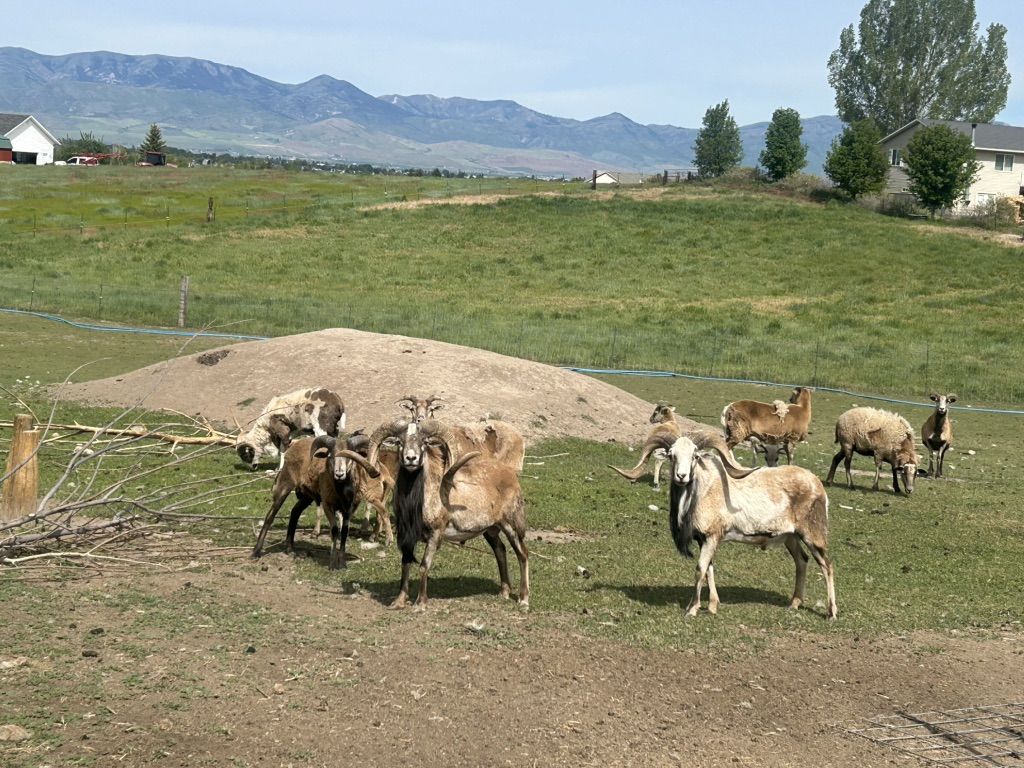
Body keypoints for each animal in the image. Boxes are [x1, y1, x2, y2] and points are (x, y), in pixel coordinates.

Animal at [251, 433, 386, 568]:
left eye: (350, 457)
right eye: (330, 456)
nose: (339, 474)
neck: (341, 491)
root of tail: (294, 445)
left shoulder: (350, 509)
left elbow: (344, 532)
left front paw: (342, 564)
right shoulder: (327, 505)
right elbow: (334, 530)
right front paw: (332, 564)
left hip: (306, 496)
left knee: (295, 512)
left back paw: (290, 548)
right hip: (285, 485)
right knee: (270, 515)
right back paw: (256, 552)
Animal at [367, 418, 529, 611]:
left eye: (424, 442)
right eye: (399, 442)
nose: (411, 459)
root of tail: (511, 476)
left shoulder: (435, 534)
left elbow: (424, 566)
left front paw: (420, 604)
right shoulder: (406, 536)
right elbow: (405, 564)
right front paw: (398, 602)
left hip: (510, 525)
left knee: (522, 554)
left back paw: (523, 599)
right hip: (490, 530)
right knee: (501, 551)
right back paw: (503, 593)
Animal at [657, 434, 837, 620]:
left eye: (695, 456)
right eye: (671, 455)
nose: (681, 476)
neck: (703, 492)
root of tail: (818, 485)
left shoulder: (711, 537)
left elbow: (700, 569)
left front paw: (692, 609)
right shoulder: (703, 540)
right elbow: (709, 570)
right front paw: (712, 606)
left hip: (812, 534)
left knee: (827, 566)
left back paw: (831, 613)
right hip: (790, 537)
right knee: (802, 560)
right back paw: (794, 604)